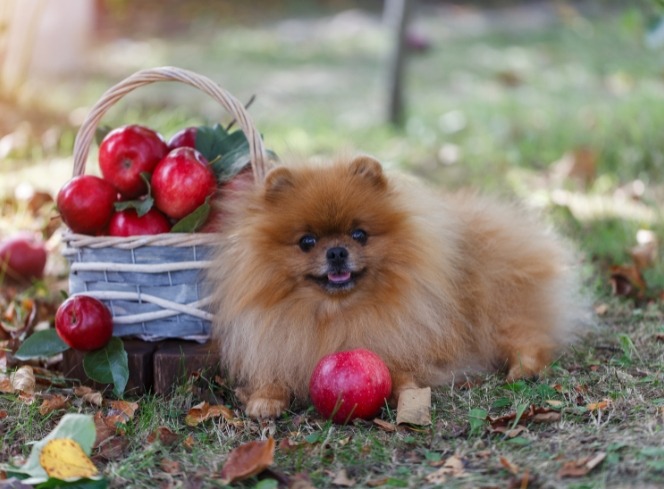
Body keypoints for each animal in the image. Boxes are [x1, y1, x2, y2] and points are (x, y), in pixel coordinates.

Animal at [208, 154, 580, 418]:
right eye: (307, 242)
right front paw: (265, 399)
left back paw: (523, 370)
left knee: (531, 340)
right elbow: (271, 374)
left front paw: (408, 392)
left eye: (359, 234)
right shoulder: (275, 343)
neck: (337, 314)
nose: (337, 252)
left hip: (500, 311)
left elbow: (404, 371)